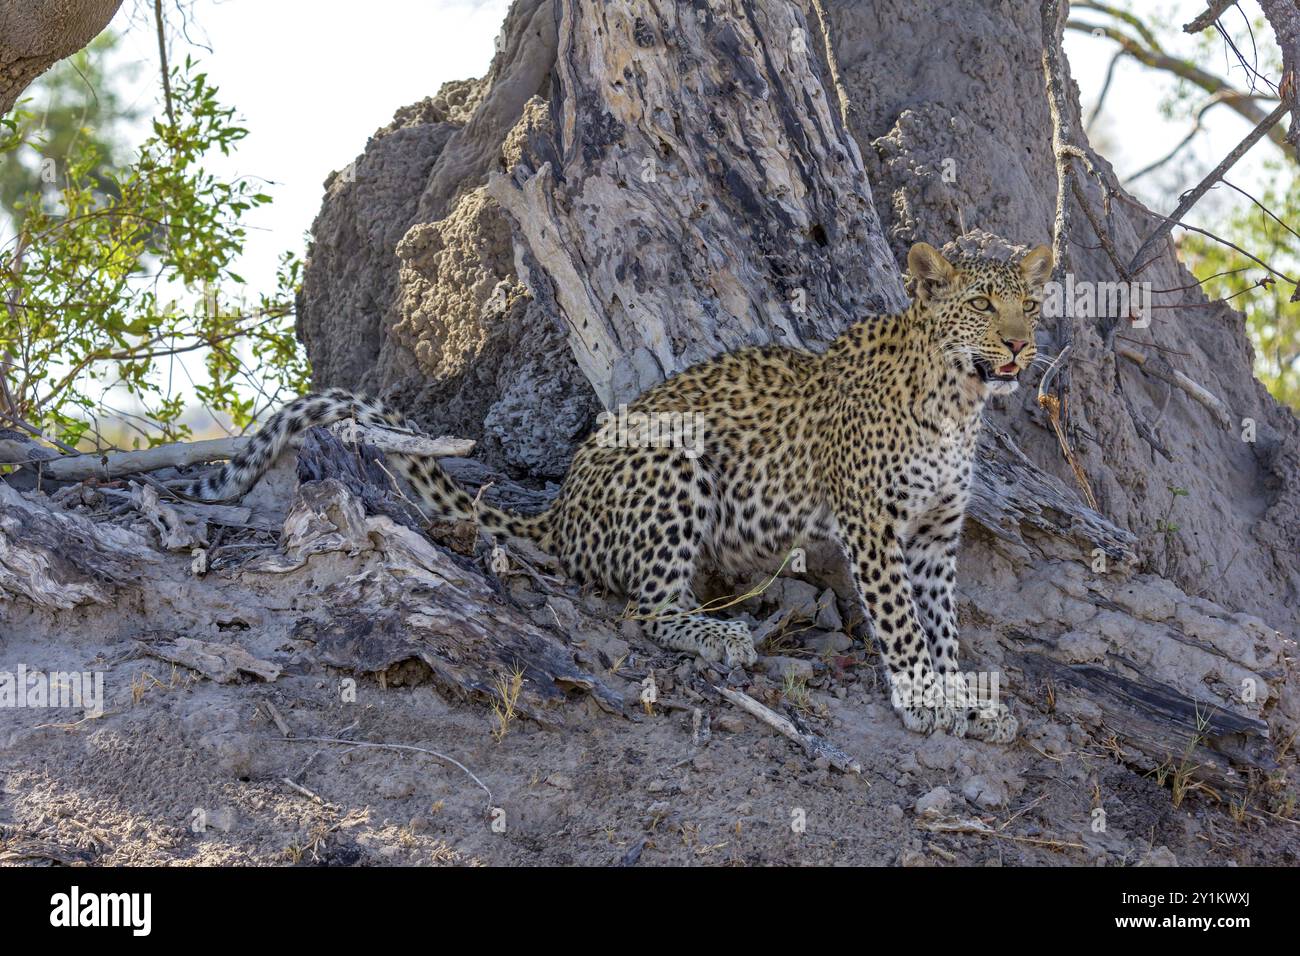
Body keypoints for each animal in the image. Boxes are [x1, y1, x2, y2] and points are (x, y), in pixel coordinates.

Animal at [188, 239, 1050, 738]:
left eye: (1031, 303)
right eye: (982, 304)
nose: (1019, 346)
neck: (958, 403)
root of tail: (561, 508)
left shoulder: (936, 532)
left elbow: (942, 622)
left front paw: (967, 695)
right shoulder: (873, 524)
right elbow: (903, 623)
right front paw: (926, 699)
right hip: (676, 460)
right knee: (646, 610)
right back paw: (720, 636)